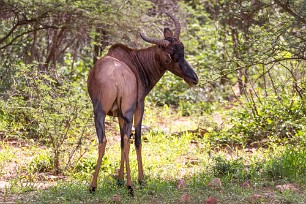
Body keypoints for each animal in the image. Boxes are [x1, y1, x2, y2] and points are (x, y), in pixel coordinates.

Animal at [88, 12, 198, 196]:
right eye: (172, 57)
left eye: (183, 51)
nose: (194, 78)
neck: (134, 60)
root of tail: (117, 75)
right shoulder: (140, 105)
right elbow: (138, 140)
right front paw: (141, 179)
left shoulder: (120, 113)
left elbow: (122, 141)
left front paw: (120, 179)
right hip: (116, 110)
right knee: (118, 139)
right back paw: (120, 186)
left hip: (109, 112)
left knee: (113, 140)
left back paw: (106, 186)